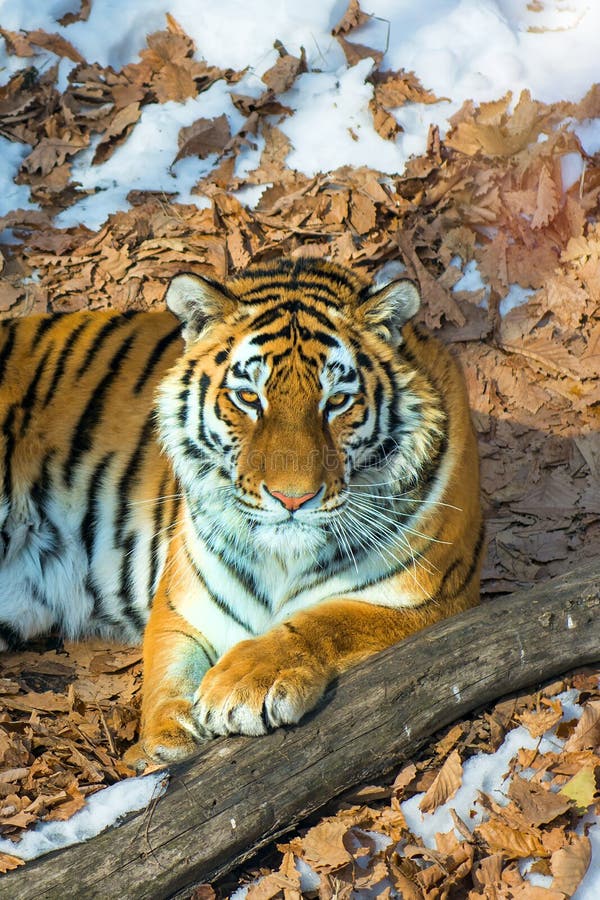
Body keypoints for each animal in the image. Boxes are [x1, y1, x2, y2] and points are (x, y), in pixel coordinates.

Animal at [0, 258, 482, 768]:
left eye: (336, 401)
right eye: (249, 398)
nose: (293, 499)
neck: (283, 561)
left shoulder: (440, 600)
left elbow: (331, 620)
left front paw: (242, 684)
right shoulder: (181, 602)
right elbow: (167, 666)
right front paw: (166, 735)